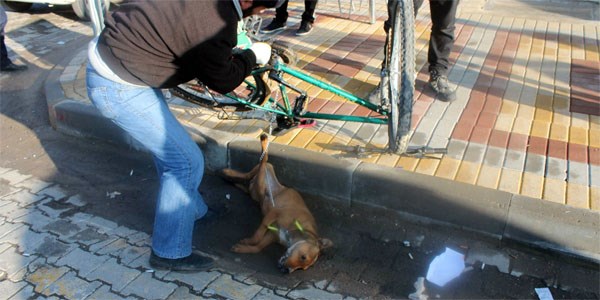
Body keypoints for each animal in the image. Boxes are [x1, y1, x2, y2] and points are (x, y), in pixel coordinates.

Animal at [220, 135, 332, 274]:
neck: (297, 230)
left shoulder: (273, 234)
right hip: (264, 172)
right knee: (261, 162)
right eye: (303, 257)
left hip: (256, 190)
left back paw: (233, 180)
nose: (286, 271)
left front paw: (243, 248)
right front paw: (248, 241)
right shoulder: (273, 214)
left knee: (249, 183)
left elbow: (258, 247)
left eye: (301, 268)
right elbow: (257, 236)